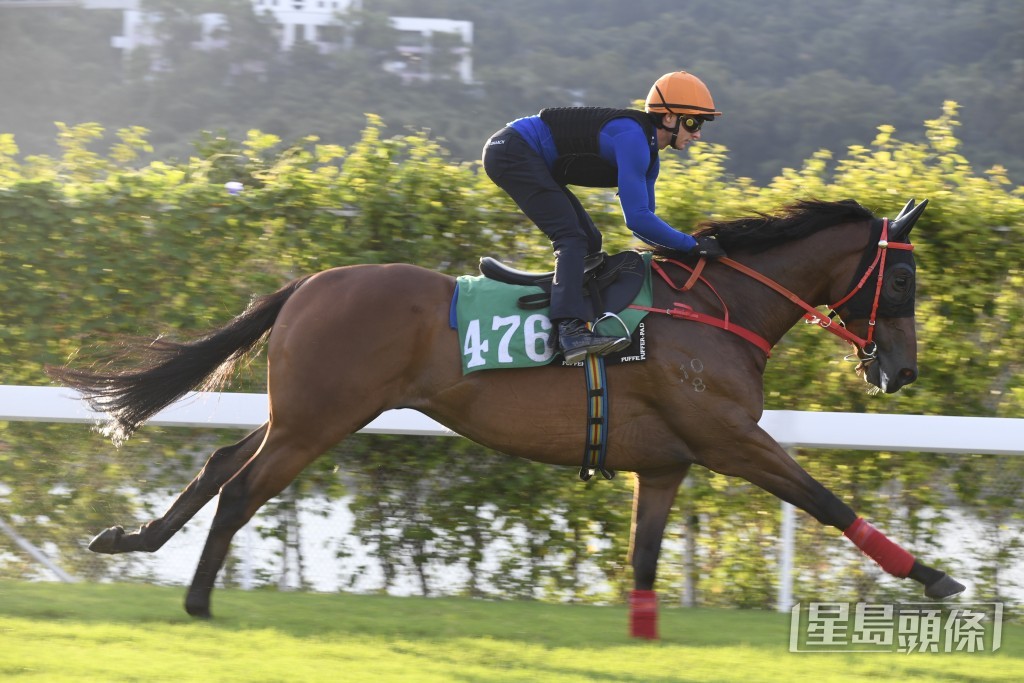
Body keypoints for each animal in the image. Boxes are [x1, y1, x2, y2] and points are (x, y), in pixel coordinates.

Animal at [47, 197, 964, 638]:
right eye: (904, 280)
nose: (901, 369)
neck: (713, 308)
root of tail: (309, 282)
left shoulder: (667, 462)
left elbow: (642, 559)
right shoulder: (731, 438)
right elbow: (826, 500)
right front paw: (935, 576)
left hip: (303, 412)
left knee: (217, 464)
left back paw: (133, 540)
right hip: (319, 419)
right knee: (241, 490)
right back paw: (199, 600)